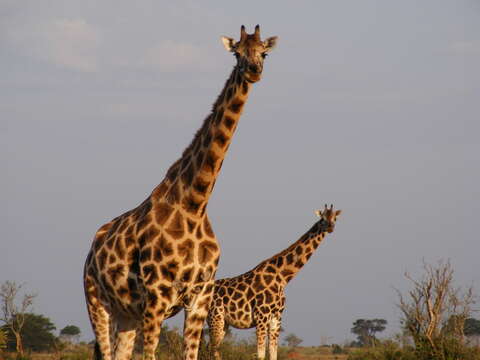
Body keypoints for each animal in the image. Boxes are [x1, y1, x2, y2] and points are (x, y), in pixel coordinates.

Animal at [83, 26, 278, 360]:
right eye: (237, 53)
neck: (195, 203)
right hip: (97, 302)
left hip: (126, 314)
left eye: (263, 52)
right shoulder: (156, 297)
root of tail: (89, 254)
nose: (253, 70)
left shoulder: (200, 297)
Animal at [208, 205, 340, 360]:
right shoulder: (261, 317)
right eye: (323, 218)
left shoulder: (276, 318)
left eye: (335, 218)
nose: (330, 227)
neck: (282, 277)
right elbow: (260, 354)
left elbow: (273, 353)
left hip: (224, 323)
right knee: (210, 348)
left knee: (211, 348)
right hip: (215, 317)